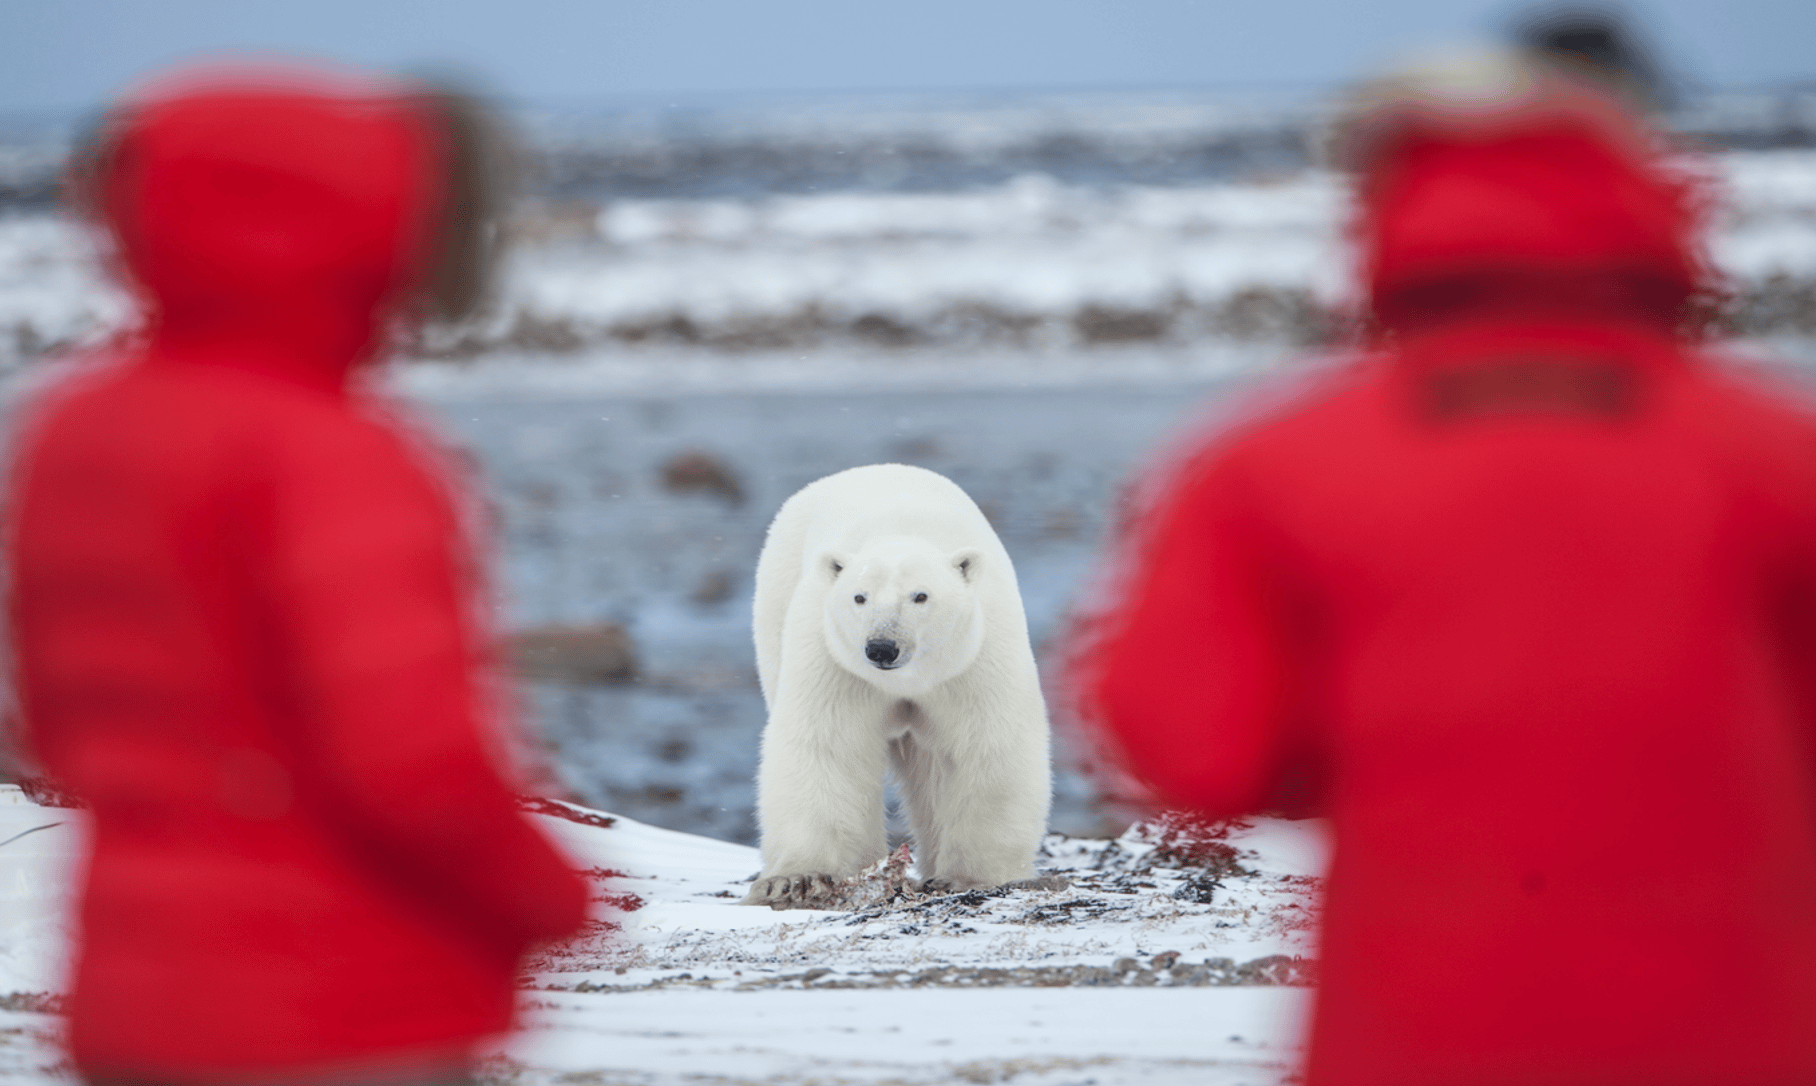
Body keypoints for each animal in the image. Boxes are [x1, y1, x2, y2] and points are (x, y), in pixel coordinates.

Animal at [743, 463, 1053, 909]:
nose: (882, 647)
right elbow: (828, 745)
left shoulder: (972, 659)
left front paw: (965, 877)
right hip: (776, 606)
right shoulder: (835, 661)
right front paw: (796, 880)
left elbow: (987, 744)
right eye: (859, 597)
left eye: (920, 596)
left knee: (932, 769)